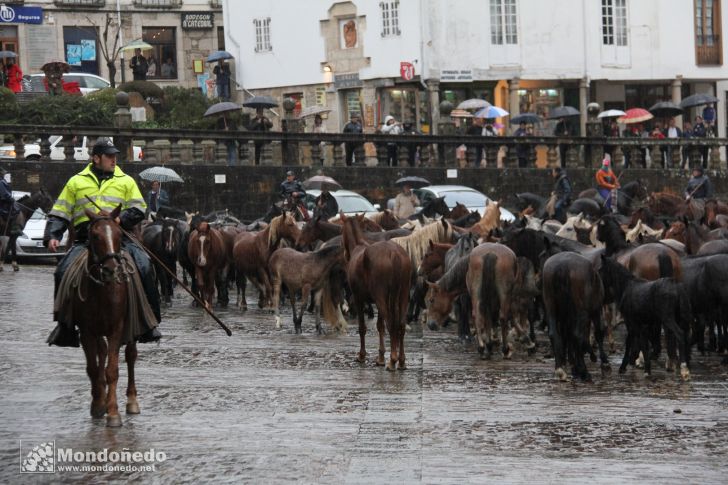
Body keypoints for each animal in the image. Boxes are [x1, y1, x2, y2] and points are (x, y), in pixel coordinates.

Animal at [340, 214, 410, 368]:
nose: (345, 254)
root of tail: (394, 253)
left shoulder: (358, 298)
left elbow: (362, 327)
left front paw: (362, 355)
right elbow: (380, 326)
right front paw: (381, 357)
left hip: (380, 296)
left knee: (391, 324)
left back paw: (393, 360)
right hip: (402, 295)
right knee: (401, 325)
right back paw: (401, 360)